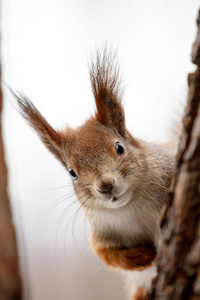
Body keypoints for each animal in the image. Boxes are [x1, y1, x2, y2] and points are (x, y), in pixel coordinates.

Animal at [11, 48, 177, 298]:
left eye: (119, 147)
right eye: (72, 173)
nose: (106, 186)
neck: (129, 209)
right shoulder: (100, 233)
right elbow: (105, 255)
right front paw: (140, 256)